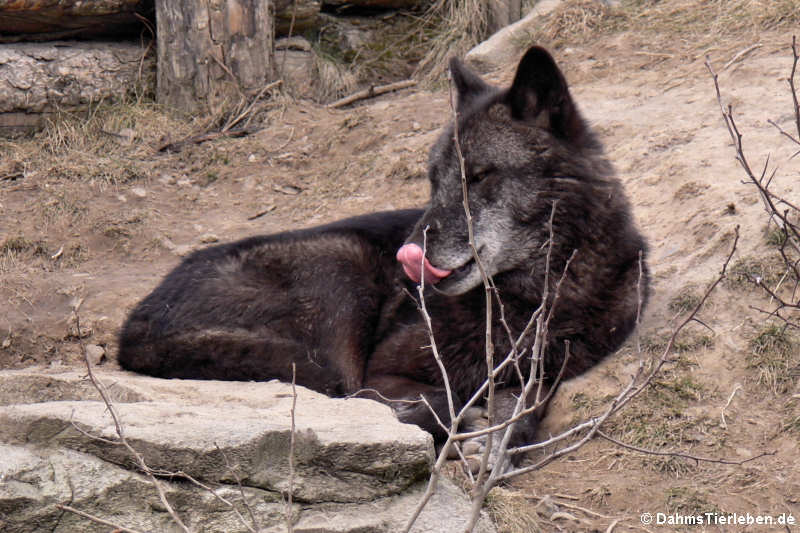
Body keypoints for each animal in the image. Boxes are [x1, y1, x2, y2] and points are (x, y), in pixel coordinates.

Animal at [115, 46, 648, 454]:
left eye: (479, 176)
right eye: (434, 180)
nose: (405, 256)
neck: (535, 296)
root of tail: (135, 324)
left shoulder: (545, 371)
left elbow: (527, 404)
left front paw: (498, 437)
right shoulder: (383, 371)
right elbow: (436, 398)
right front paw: (460, 422)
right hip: (341, 265)